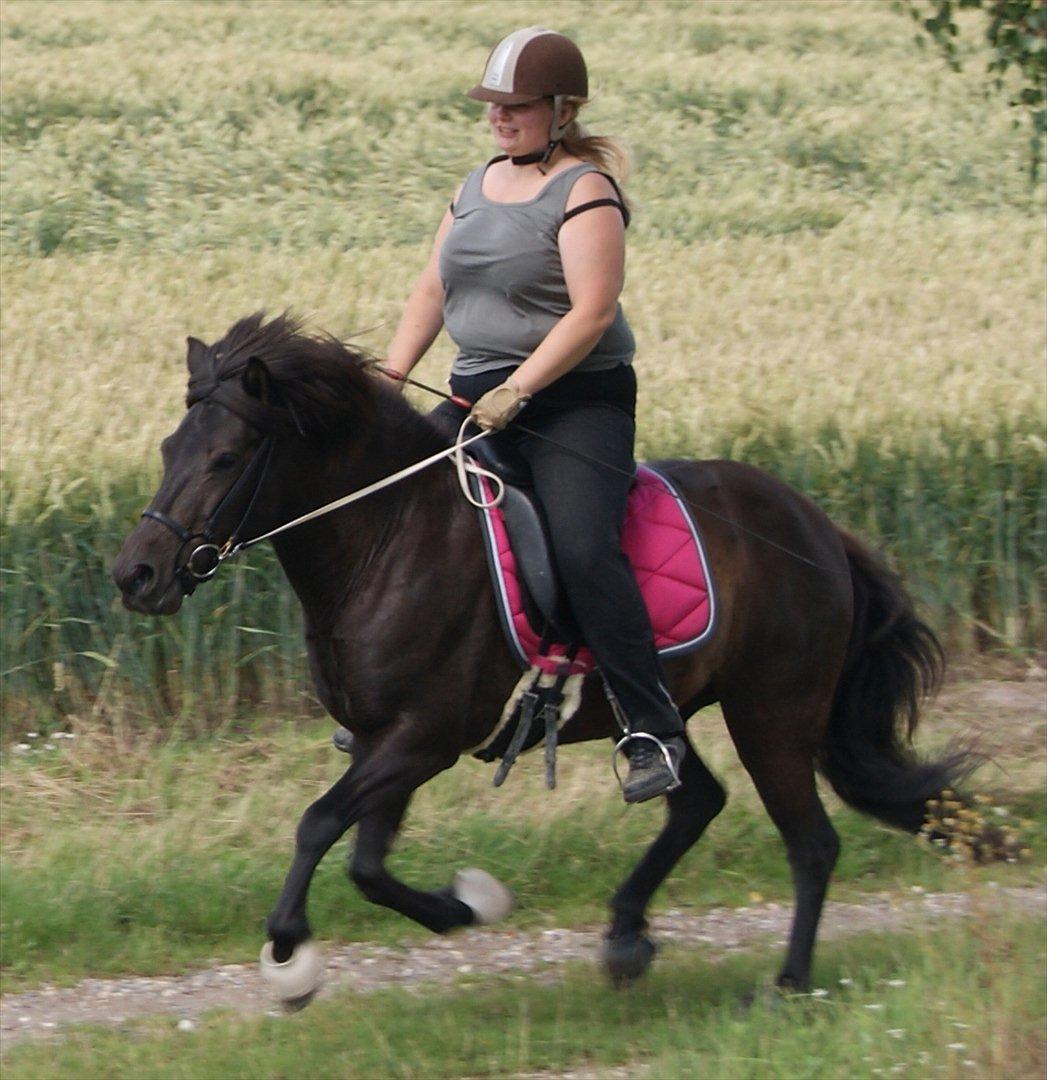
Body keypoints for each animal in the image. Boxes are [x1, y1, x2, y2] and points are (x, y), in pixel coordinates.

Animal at [114, 313, 963, 1002]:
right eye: (168, 448)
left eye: (226, 458)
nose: (136, 575)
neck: (390, 537)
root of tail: (818, 527)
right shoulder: (387, 739)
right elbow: (368, 865)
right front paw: (464, 904)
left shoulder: (423, 738)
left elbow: (318, 824)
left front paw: (291, 959)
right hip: (654, 707)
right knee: (696, 801)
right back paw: (625, 938)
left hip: (773, 712)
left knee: (811, 843)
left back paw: (785, 985)